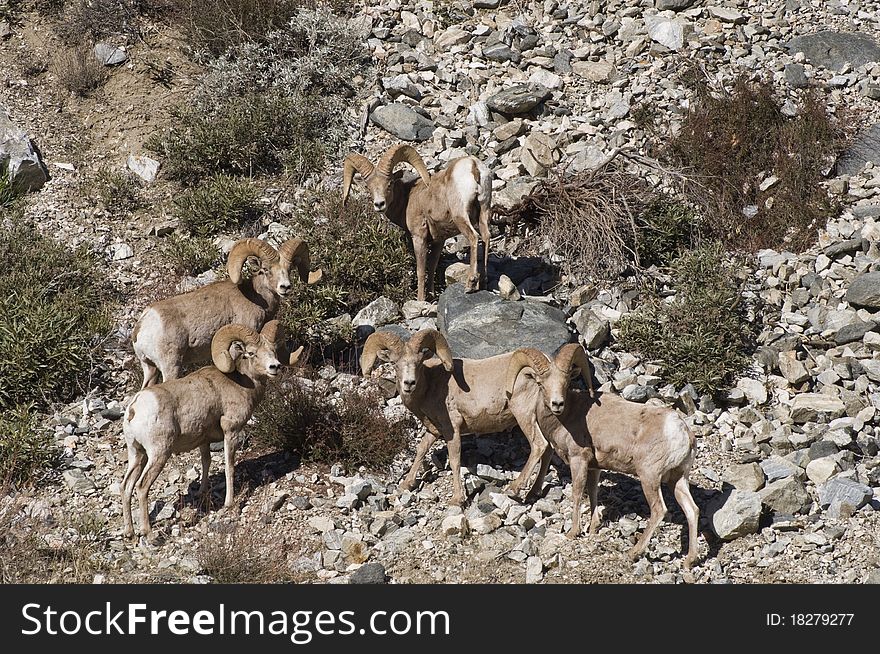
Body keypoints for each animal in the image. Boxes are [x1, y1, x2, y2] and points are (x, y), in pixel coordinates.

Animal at [121, 320, 302, 540]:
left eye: (273, 351)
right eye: (251, 353)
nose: (274, 367)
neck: (242, 383)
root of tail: (135, 408)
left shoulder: (204, 440)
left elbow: (206, 462)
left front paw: (202, 493)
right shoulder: (231, 432)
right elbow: (229, 466)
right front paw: (229, 503)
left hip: (137, 453)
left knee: (126, 486)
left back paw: (129, 532)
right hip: (158, 454)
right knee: (141, 486)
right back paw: (148, 533)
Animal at [133, 237, 320, 386]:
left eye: (289, 269)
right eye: (266, 269)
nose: (285, 287)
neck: (255, 297)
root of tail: (143, 325)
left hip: (150, 368)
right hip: (171, 366)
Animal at [340, 144, 492, 302]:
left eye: (390, 184)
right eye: (368, 187)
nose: (379, 204)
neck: (407, 199)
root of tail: (473, 166)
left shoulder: (418, 238)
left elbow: (420, 270)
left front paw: (420, 299)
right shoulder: (439, 241)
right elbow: (431, 267)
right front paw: (431, 296)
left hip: (460, 216)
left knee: (474, 237)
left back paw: (470, 284)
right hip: (484, 211)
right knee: (486, 237)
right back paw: (484, 282)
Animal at [360, 330, 600, 504]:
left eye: (419, 362)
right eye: (395, 363)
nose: (409, 383)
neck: (431, 386)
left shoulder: (452, 429)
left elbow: (455, 460)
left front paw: (457, 500)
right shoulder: (434, 430)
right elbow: (421, 450)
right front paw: (406, 485)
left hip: (523, 414)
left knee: (539, 446)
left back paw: (514, 489)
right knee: (548, 450)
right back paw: (533, 492)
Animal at [502, 348, 700, 568]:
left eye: (566, 382)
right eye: (541, 383)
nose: (557, 404)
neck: (568, 416)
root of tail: (683, 433)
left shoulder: (578, 460)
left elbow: (578, 493)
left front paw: (573, 532)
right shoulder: (595, 467)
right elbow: (592, 492)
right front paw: (593, 527)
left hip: (649, 476)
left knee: (659, 510)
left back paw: (633, 553)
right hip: (678, 479)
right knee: (692, 510)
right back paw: (690, 560)